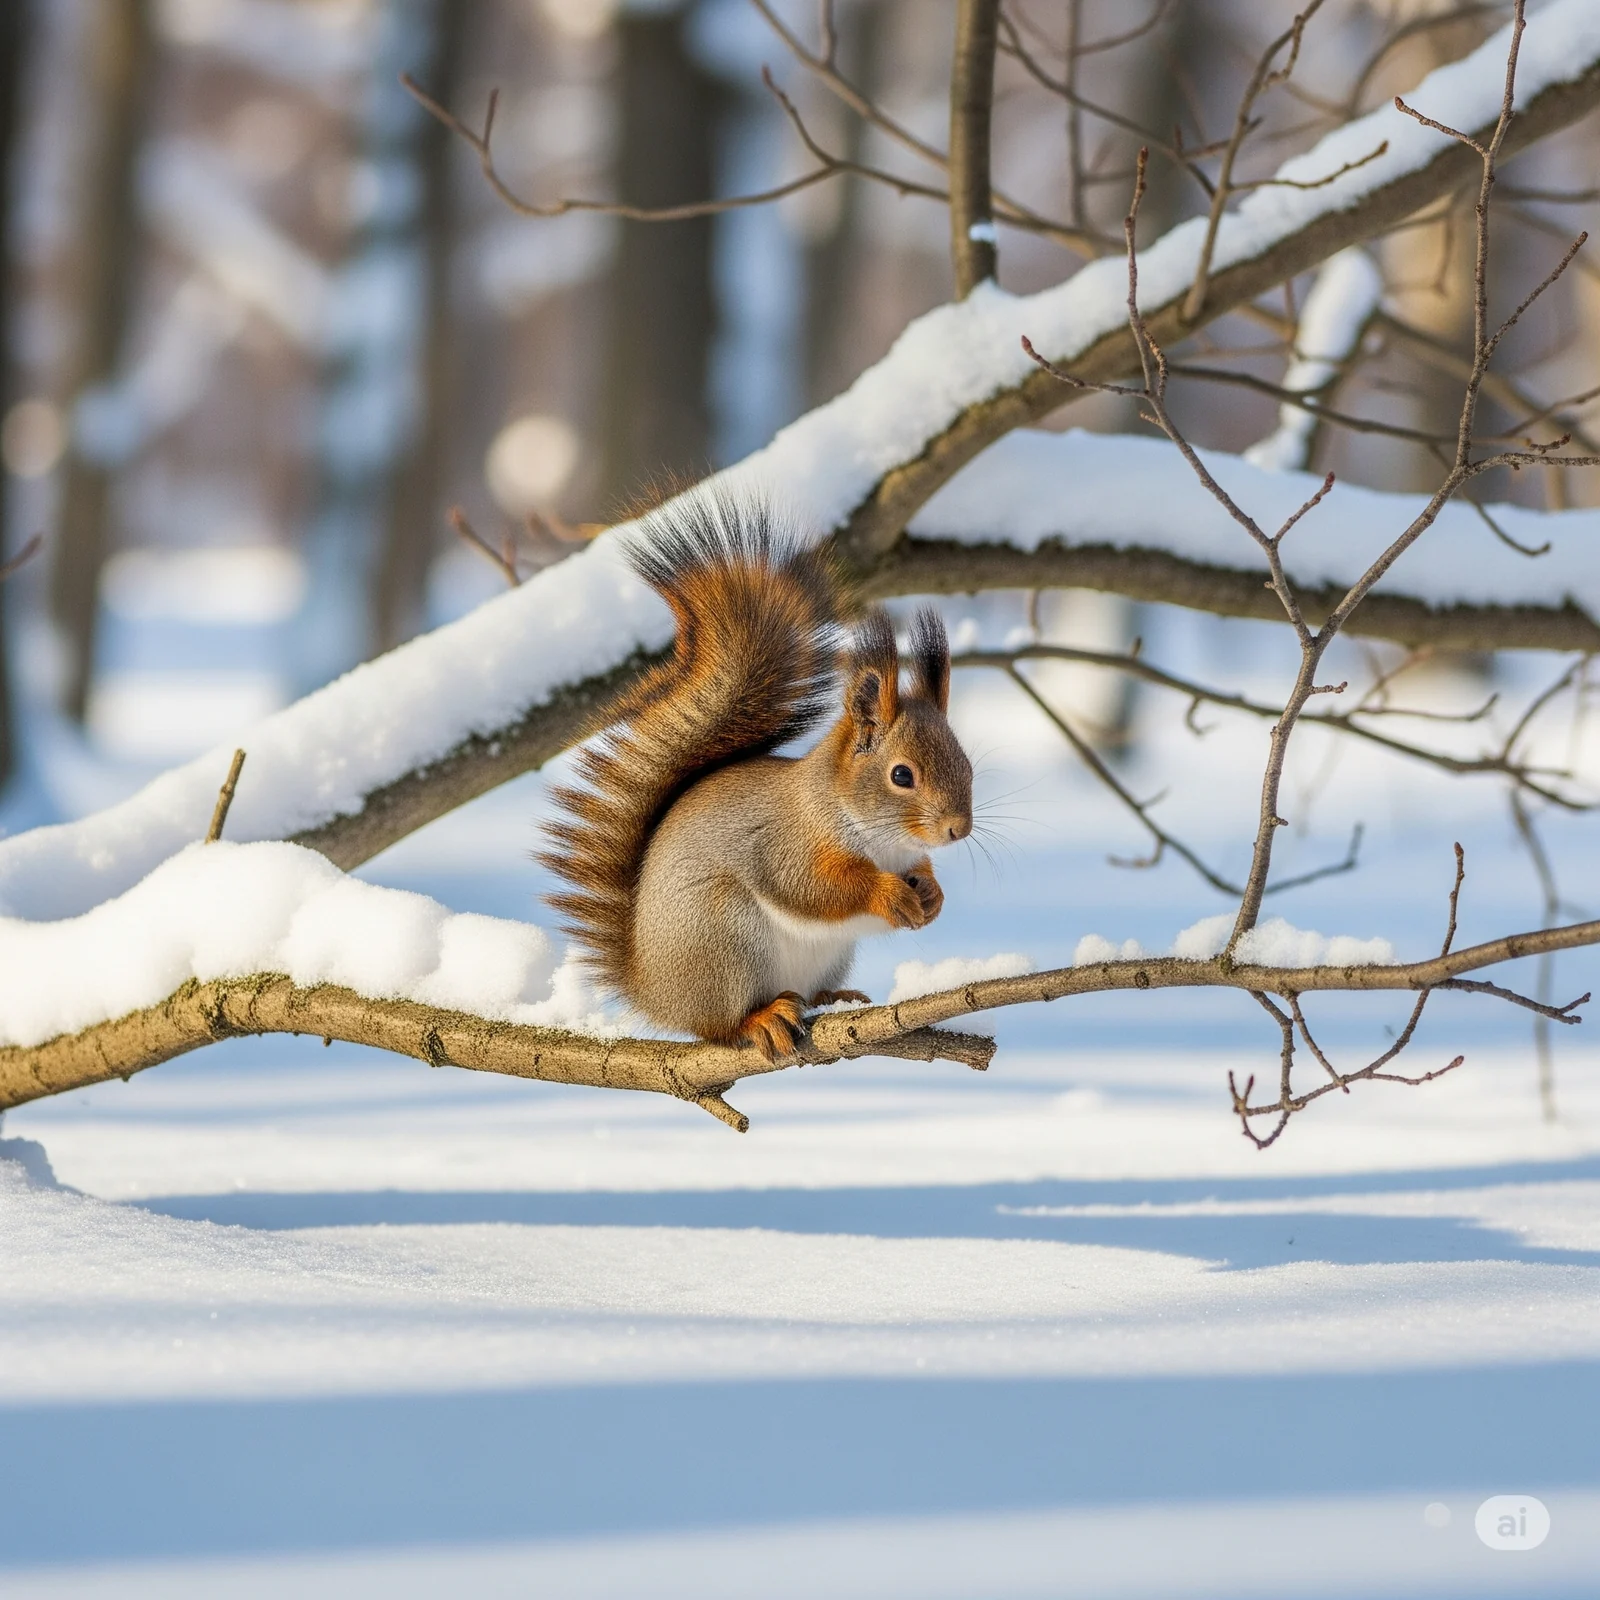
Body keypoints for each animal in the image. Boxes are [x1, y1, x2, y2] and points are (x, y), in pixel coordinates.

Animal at [541, 492, 973, 1062]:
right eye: (902, 775)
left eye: (967, 764)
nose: (958, 829)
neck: (880, 838)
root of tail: (654, 989)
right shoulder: (785, 844)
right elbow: (811, 887)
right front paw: (889, 894)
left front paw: (932, 894)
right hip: (724, 938)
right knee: (721, 1025)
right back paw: (761, 1018)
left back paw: (834, 998)